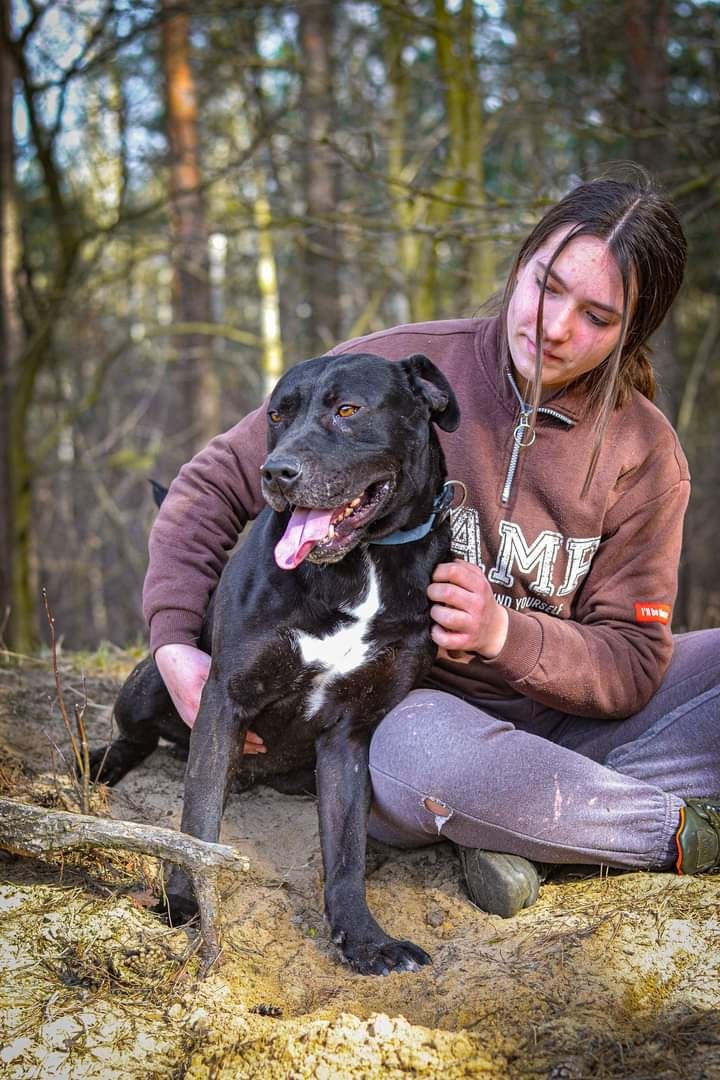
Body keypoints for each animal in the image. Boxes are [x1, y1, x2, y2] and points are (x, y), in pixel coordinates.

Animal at [91, 354, 462, 980]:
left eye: (347, 410)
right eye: (276, 415)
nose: (276, 473)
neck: (362, 564)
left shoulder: (350, 734)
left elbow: (346, 852)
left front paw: (363, 939)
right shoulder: (223, 699)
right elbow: (198, 821)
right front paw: (184, 905)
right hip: (149, 687)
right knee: (132, 739)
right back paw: (97, 767)